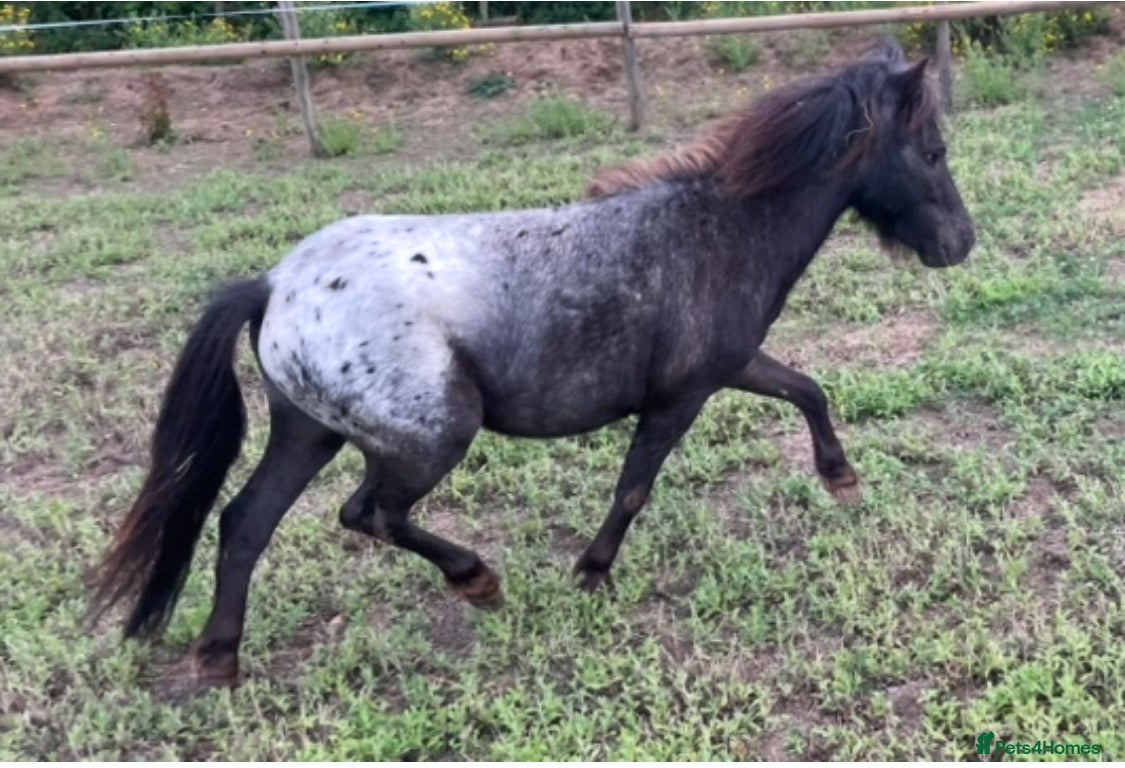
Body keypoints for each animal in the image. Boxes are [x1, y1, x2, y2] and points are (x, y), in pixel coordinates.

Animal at [91, 38, 974, 686]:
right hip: (430, 437)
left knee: (244, 523)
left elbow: (807, 390)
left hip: (308, 431)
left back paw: (219, 657)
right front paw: (590, 572)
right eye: (931, 150)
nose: (960, 244)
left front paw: (841, 478)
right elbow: (633, 487)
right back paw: (475, 579)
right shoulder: (681, 396)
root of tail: (272, 285)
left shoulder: (730, 366)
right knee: (368, 514)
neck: (712, 230)